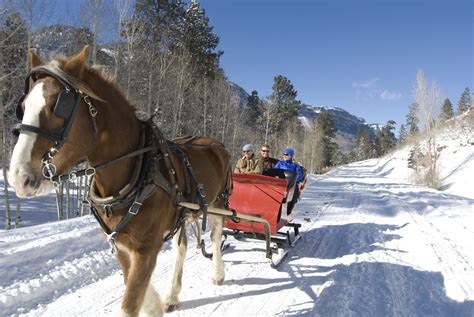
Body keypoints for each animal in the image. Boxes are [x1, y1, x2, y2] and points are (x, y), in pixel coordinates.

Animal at [8, 45, 231, 314]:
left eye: (58, 106)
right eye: (23, 106)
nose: (19, 178)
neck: (138, 171)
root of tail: (213, 142)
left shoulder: (147, 249)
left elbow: (129, 303)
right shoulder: (121, 246)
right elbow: (132, 284)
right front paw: (154, 305)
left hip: (218, 202)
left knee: (216, 235)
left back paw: (218, 274)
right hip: (184, 212)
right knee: (182, 245)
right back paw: (172, 295)